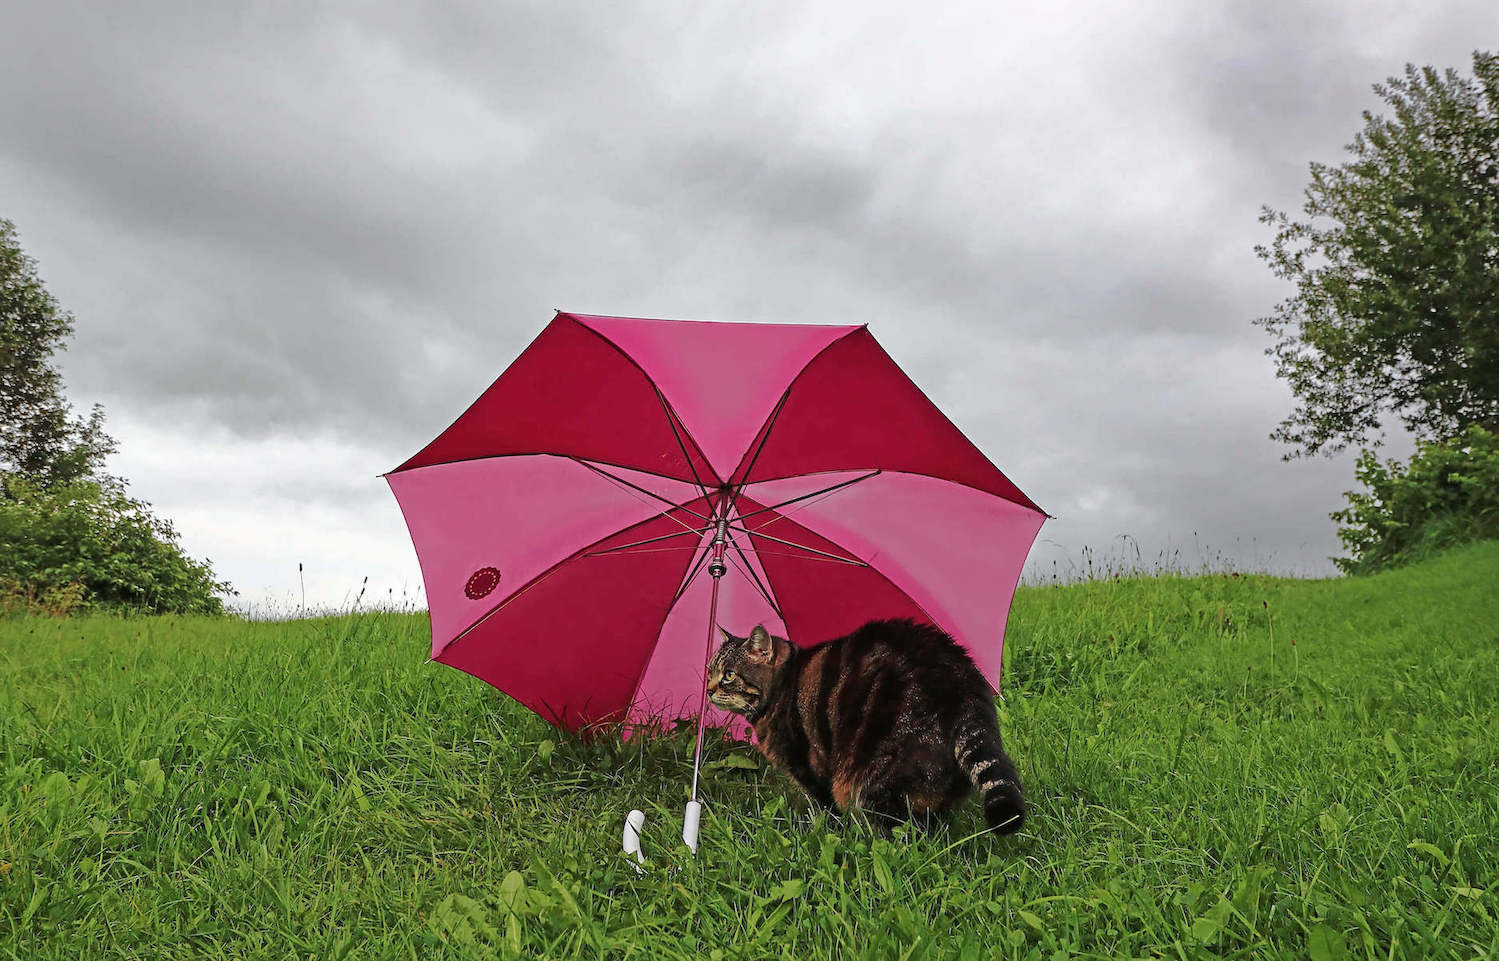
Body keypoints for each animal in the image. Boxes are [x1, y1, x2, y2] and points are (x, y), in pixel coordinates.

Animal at [707, 614, 1025, 833]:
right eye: (711, 669)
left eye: (729, 675)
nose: (708, 689)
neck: (782, 686)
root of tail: (960, 681)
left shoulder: (810, 768)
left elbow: (826, 808)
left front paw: (826, 833)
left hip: (877, 777)